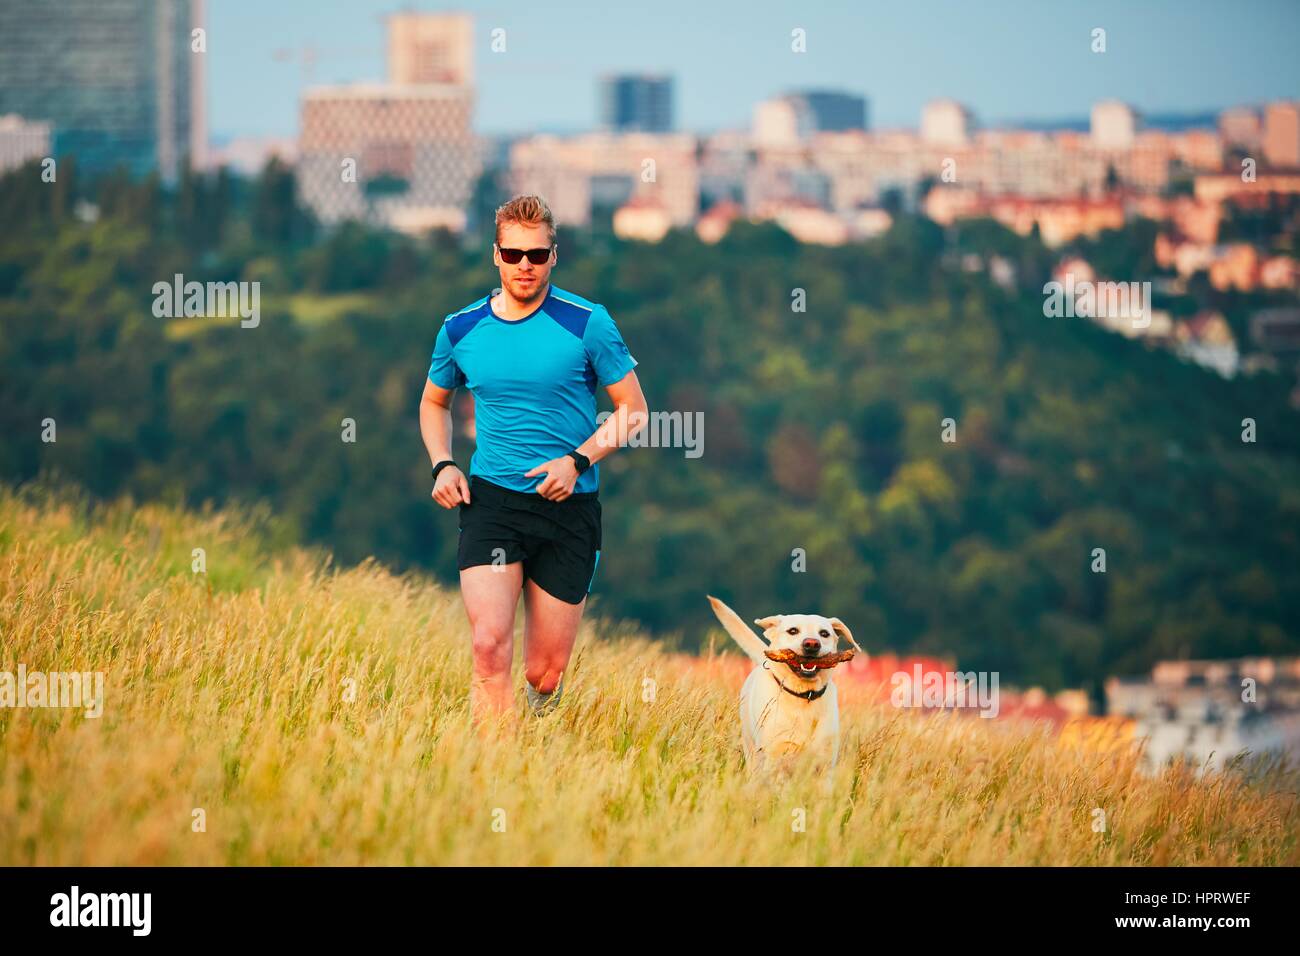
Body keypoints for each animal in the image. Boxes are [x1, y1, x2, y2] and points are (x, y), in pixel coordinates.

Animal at [702, 598, 863, 780]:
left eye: (824, 633)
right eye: (792, 631)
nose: (812, 644)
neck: (803, 696)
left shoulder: (825, 763)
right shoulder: (776, 757)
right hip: (752, 752)